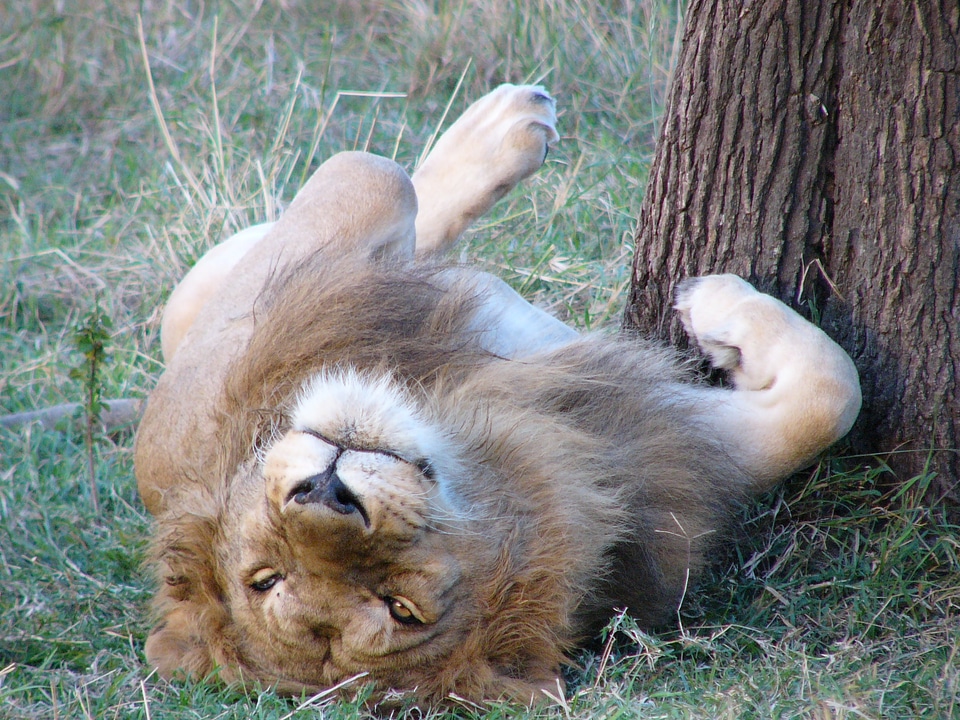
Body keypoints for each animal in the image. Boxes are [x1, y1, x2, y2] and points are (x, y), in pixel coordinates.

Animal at [137, 86, 864, 708]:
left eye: (399, 607)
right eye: (268, 579)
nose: (325, 493)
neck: (454, 407)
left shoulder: (632, 432)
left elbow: (825, 401)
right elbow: (372, 170)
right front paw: (714, 301)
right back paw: (506, 126)